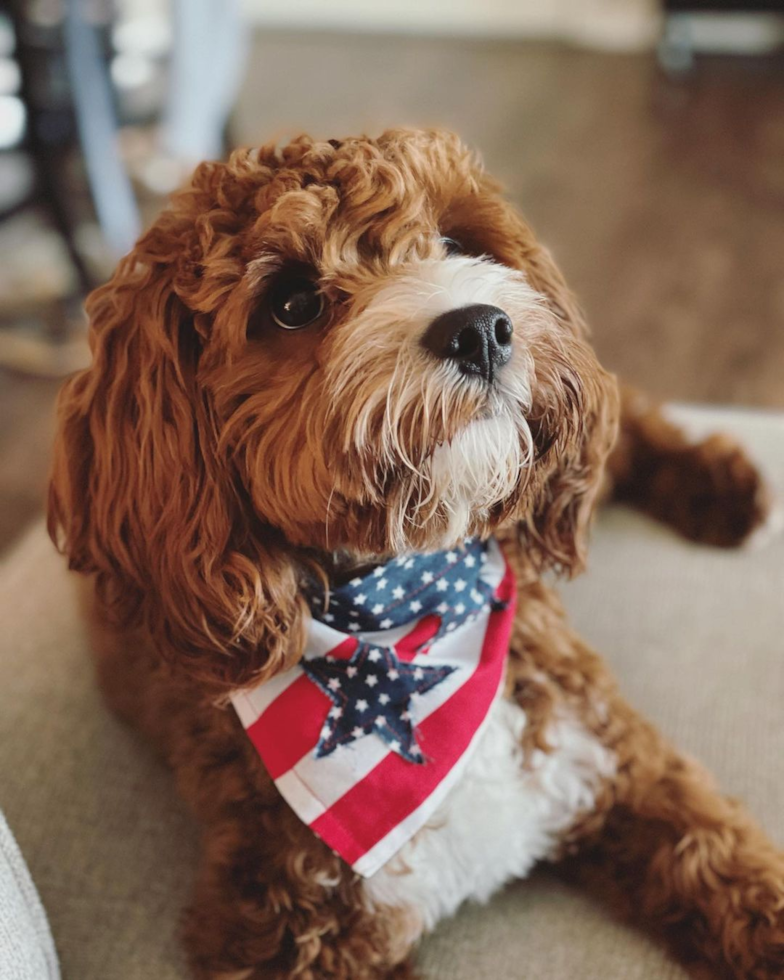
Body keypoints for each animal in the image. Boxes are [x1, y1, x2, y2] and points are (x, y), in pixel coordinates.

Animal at [49, 132, 776, 980]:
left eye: (457, 243)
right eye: (291, 303)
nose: (482, 328)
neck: (415, 594)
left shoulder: (626, 767)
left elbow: (740, 873)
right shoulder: (284, 932)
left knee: (619, 415)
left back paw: (723, 488)